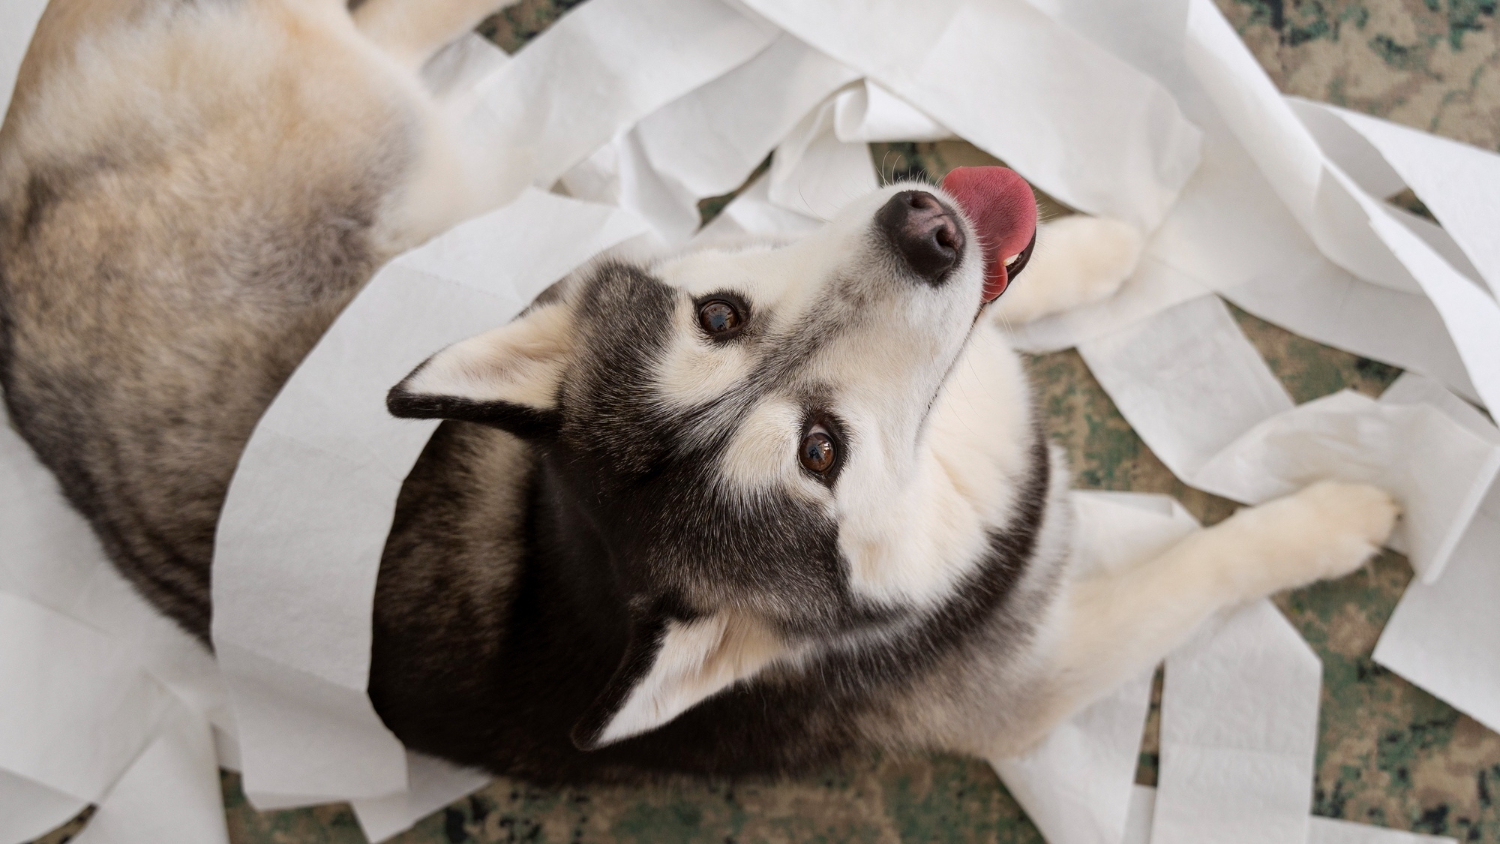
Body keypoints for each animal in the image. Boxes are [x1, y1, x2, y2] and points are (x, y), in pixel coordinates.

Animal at [5, 0, 1398, 785]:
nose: (927, 228)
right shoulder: (1031, 682)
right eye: (821, 453)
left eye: (719, 317)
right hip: (368, 121)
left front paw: (1088, 249)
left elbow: (997, 307)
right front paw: (1341, 515)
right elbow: (1204, 566)